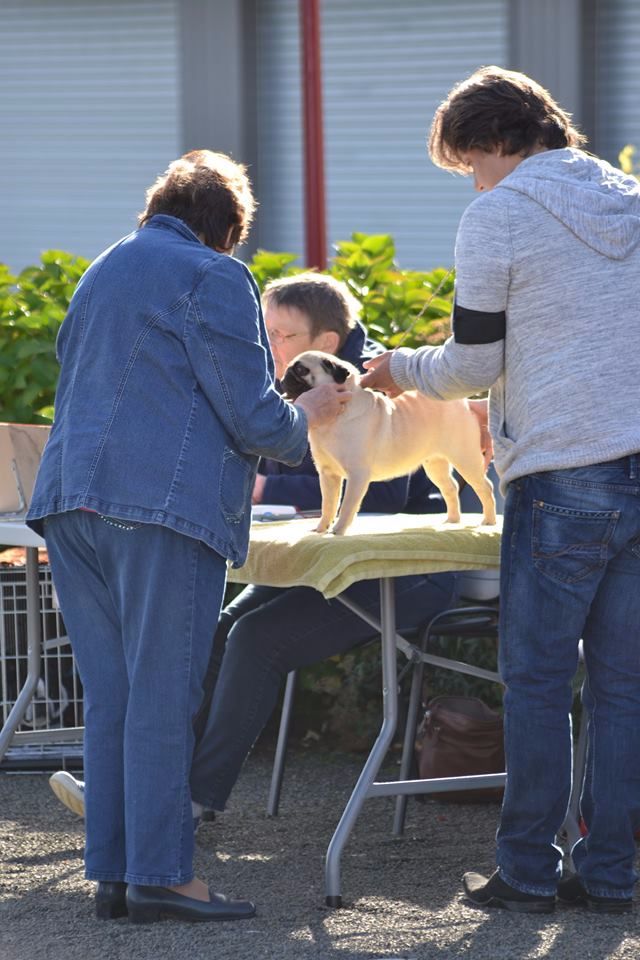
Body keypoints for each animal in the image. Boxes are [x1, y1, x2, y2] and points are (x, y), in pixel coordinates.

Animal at [282, 348, 498, 536]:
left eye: (301, 370)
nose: (285, 375)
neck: (335, 417)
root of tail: (463, 403)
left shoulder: (357, 476)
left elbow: (346, 506)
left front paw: (338, 531)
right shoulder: (328, 475)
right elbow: (328, 505)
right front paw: (321, 529)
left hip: (465, 459)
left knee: (485, 487)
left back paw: (488, 522)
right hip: (435, 464)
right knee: (451, 487)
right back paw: (452, 520)